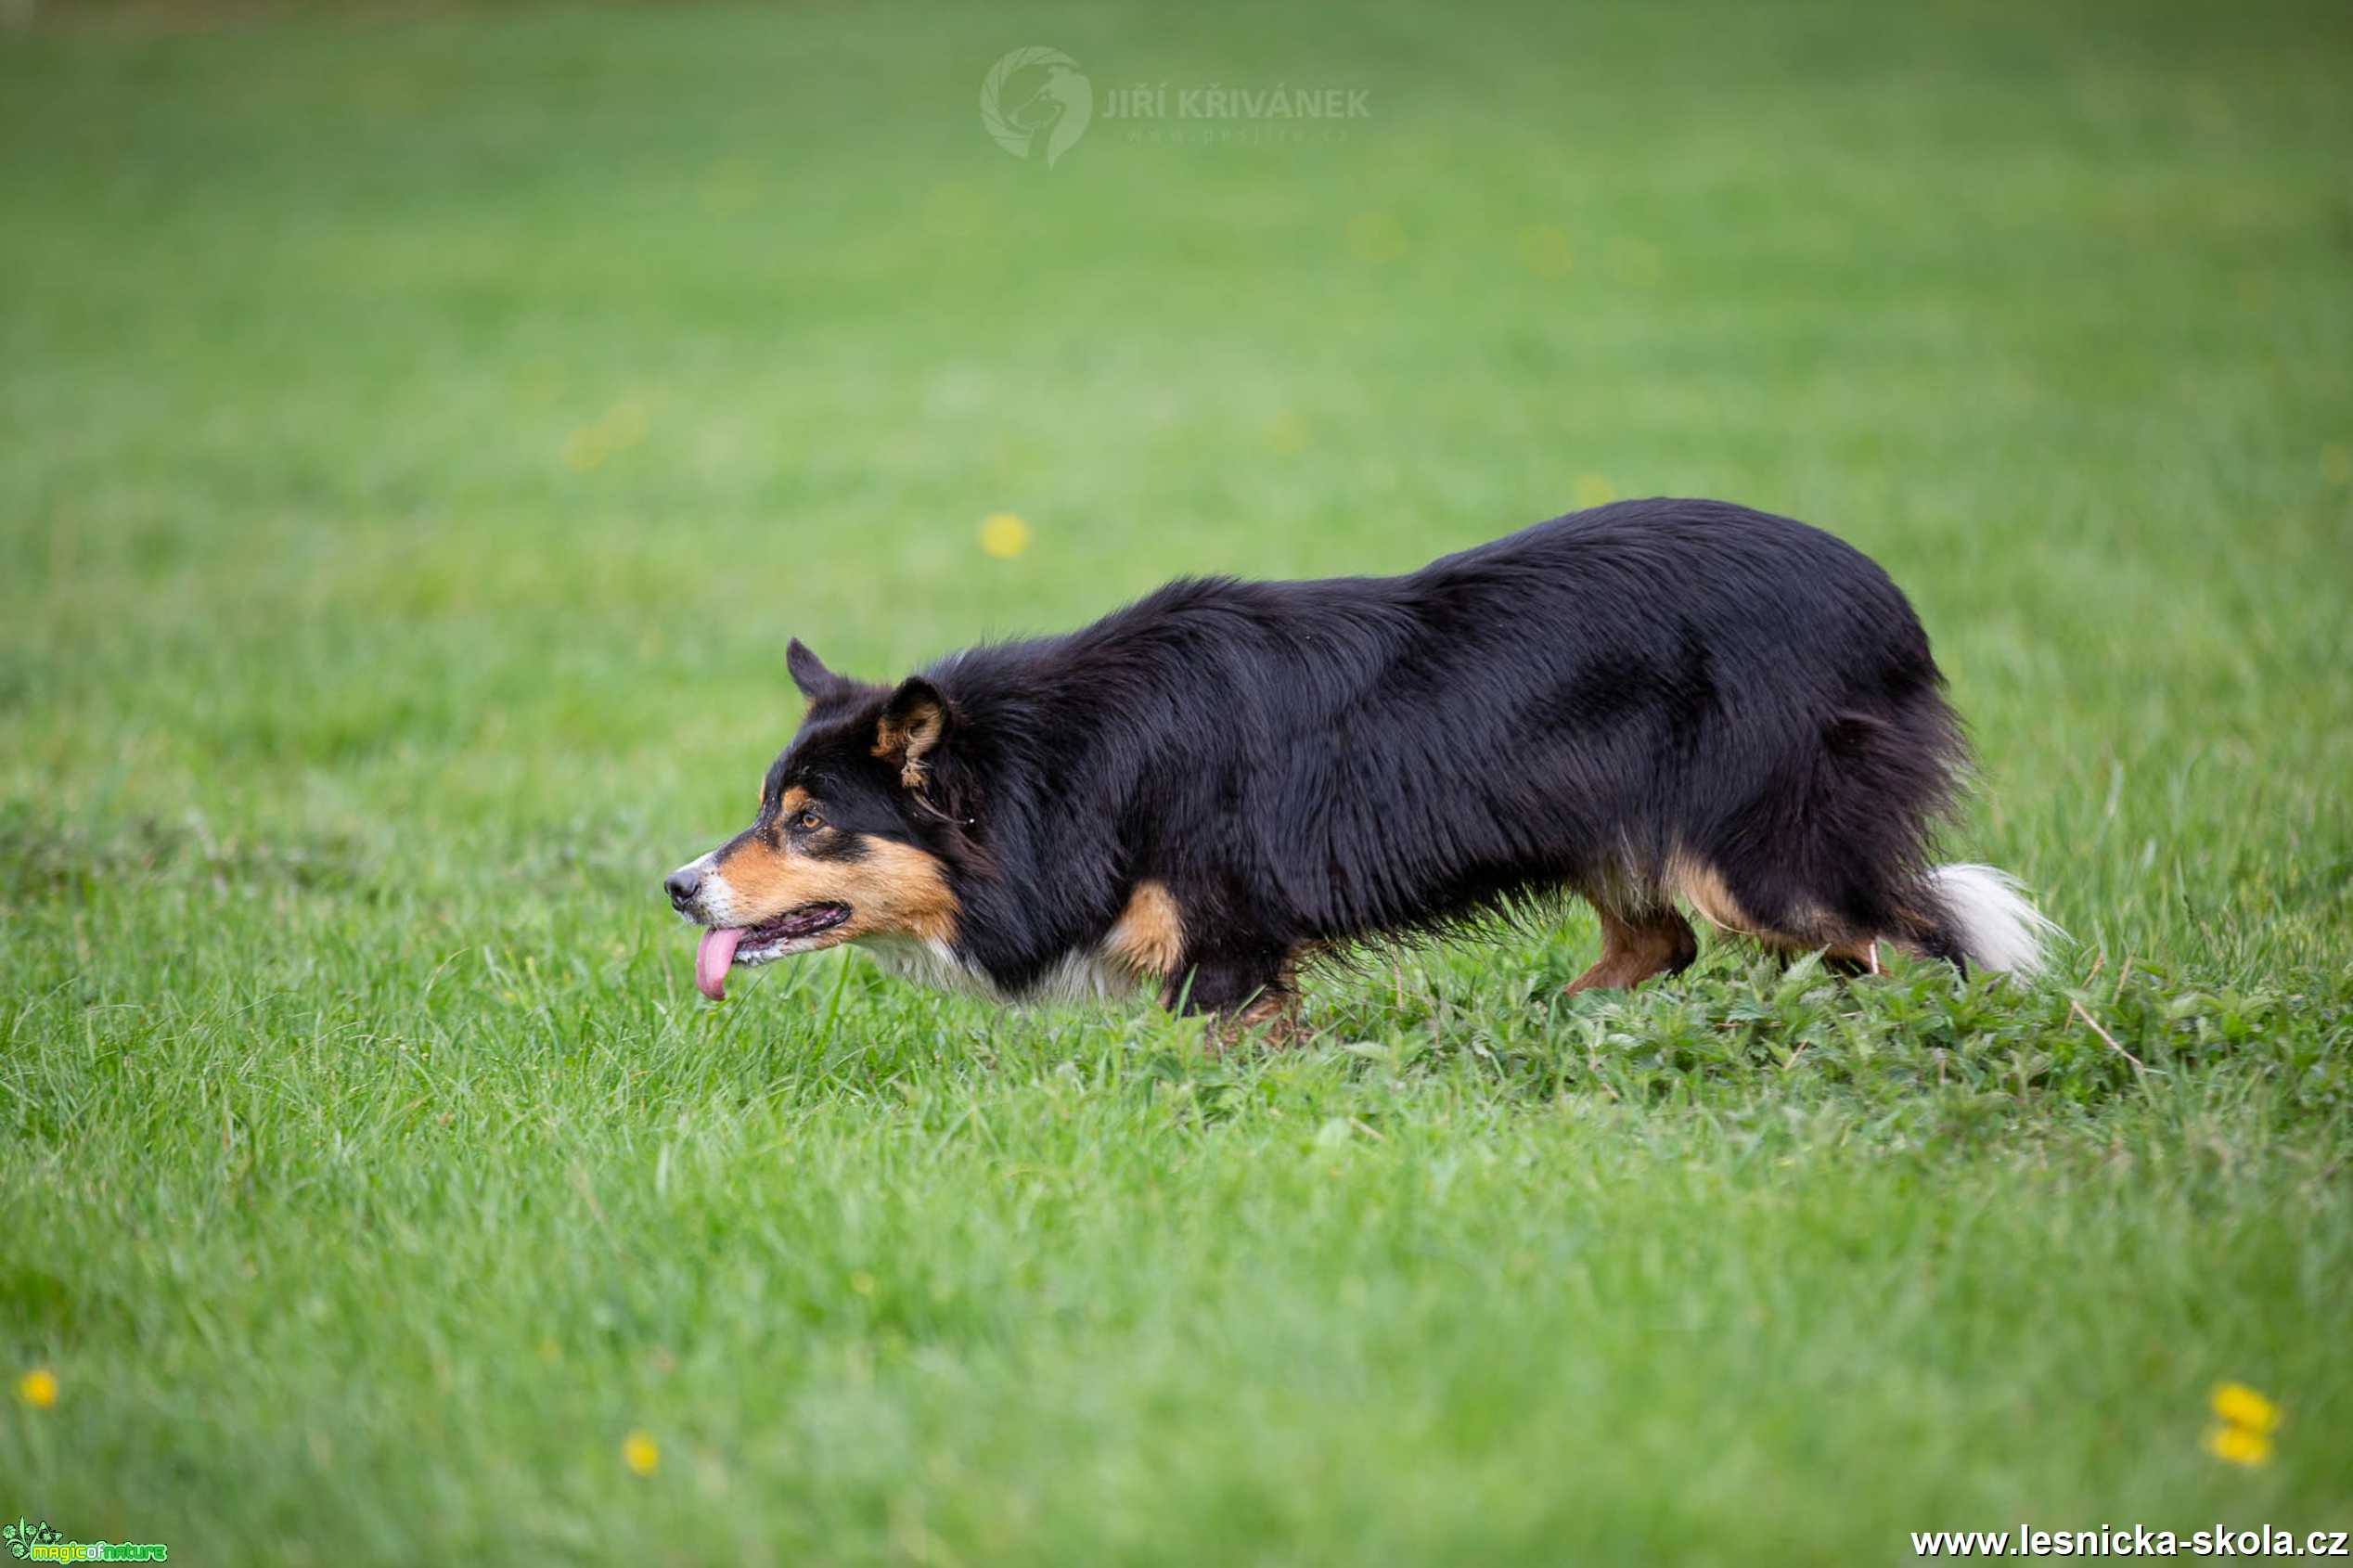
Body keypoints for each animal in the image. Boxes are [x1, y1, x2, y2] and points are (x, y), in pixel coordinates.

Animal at [668, 496, 2061, 1026]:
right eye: (766, 807)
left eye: (806, 822)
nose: (677, 888)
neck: (1046, 773)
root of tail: (1886, 603)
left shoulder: (1226, 945)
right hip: (1614, 825)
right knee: (1662, 941)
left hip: (1759, 846)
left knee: (1909, 937)